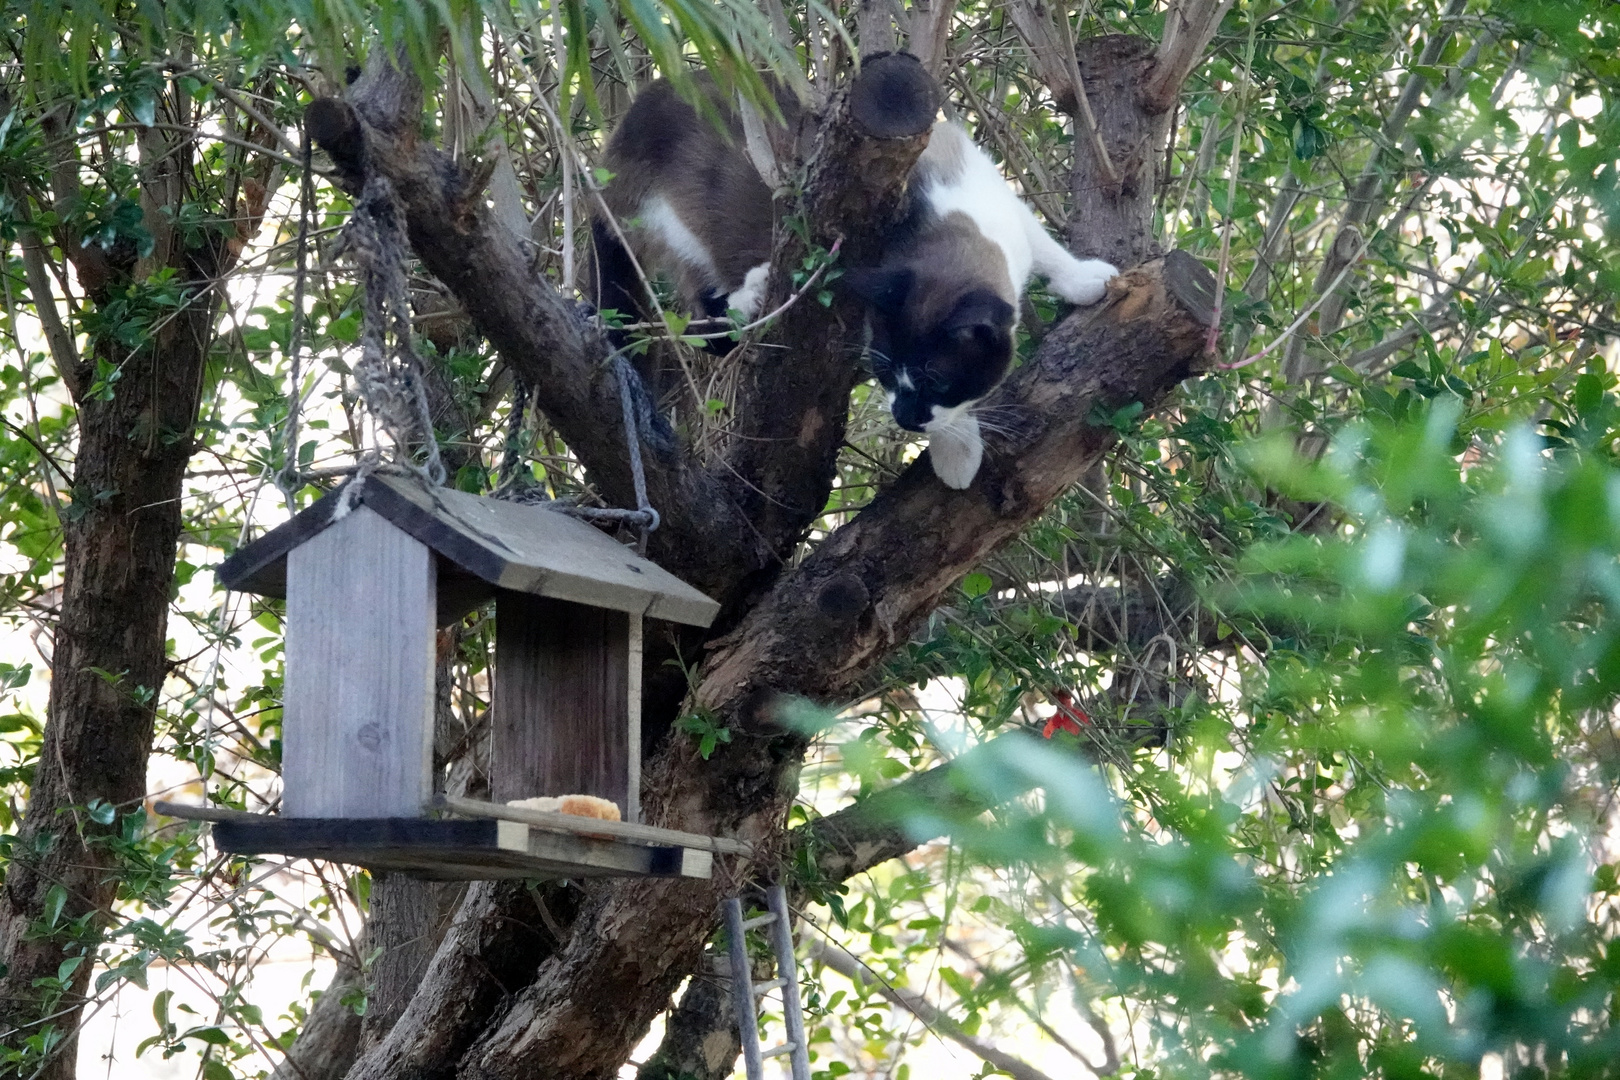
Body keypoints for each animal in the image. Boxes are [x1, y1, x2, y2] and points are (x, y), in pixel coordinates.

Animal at [592, 84, 1114, 488]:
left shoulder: (1001, 206)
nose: (904, 417)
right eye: (885, 374)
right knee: (707, 323)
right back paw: (754, 293)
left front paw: (1088, 281)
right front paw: (957, 454)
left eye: (935, 380)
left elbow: (1045, 246)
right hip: (674, 225)